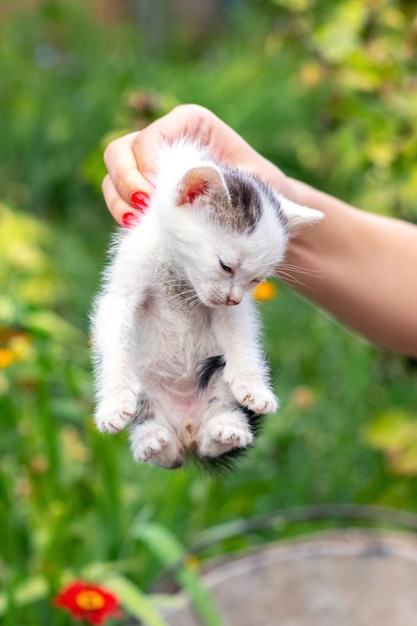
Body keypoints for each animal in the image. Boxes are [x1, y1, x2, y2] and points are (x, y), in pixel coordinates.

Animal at [90, 138, 322, 468]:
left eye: (256, 280)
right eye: (225, 266)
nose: (232, 298)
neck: (180, 273)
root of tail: (188, 431)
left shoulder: (231, 313)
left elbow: (240, 338)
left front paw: (253, 385)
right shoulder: (124, 289)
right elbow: (115, 337)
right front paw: (115, 401)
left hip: (216, 374)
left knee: (212, 439)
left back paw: (226, 430)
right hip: (149, 390)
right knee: (165, 447)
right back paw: (152, 441)